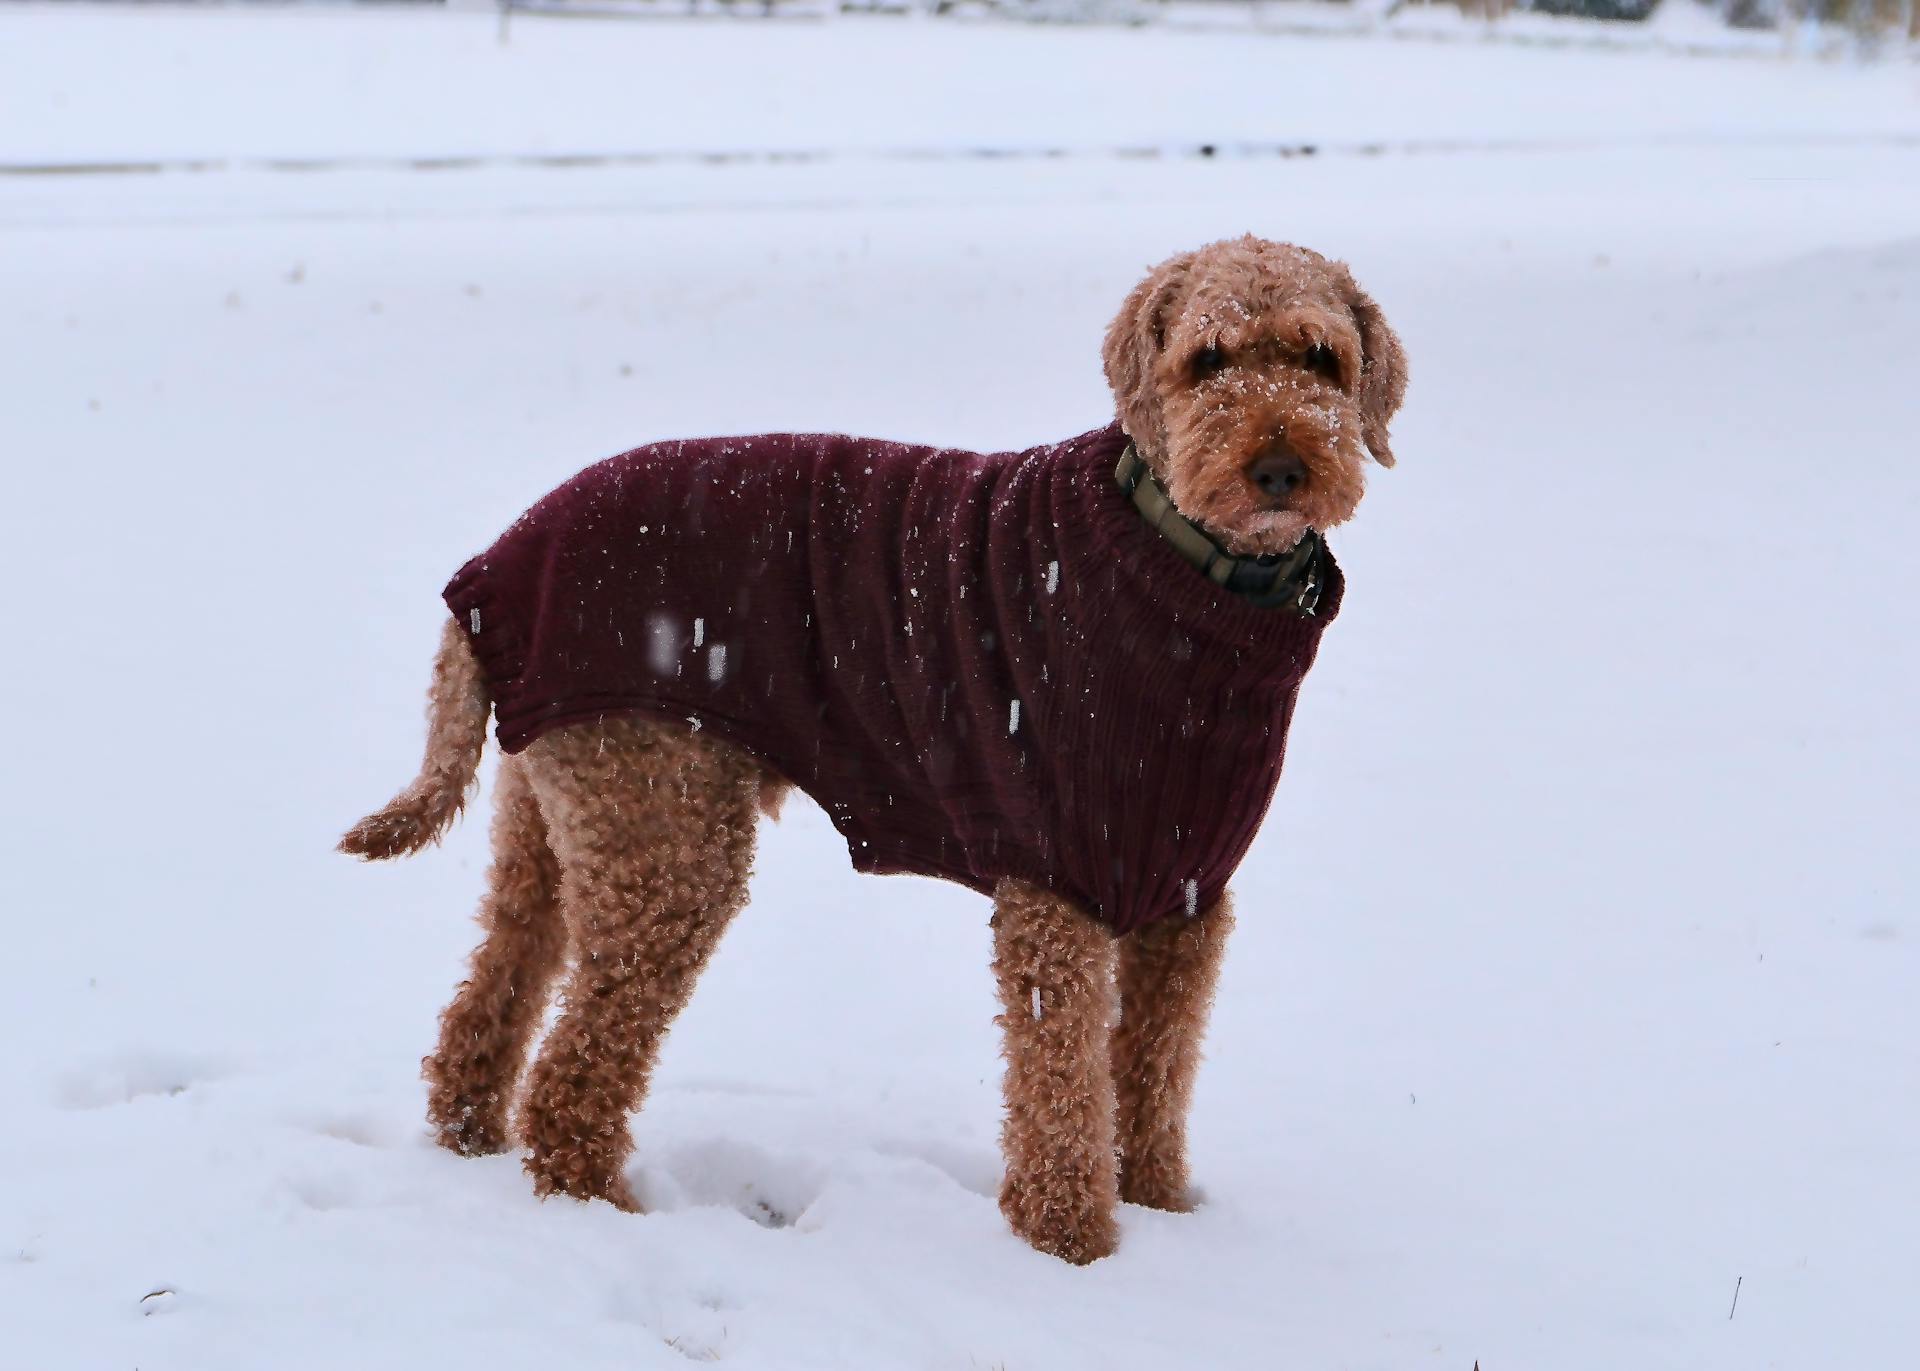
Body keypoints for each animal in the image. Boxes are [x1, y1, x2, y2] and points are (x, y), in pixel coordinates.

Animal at [337, 235, 1405, 1259]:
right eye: (1207, 359)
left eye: (1321, 357)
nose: (1280, 469)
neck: (1197, 578)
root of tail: (490, 573)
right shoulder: (1057, 882)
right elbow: (1064, 1090)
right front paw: (1072, 1250)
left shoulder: (1186, 894)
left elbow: (1153, 1069)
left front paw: (1163, 1213)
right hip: (664, 827)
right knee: (573, 1071)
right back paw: (599, 1207)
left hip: (559, 810)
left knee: (491, 995)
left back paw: (472, 1137)